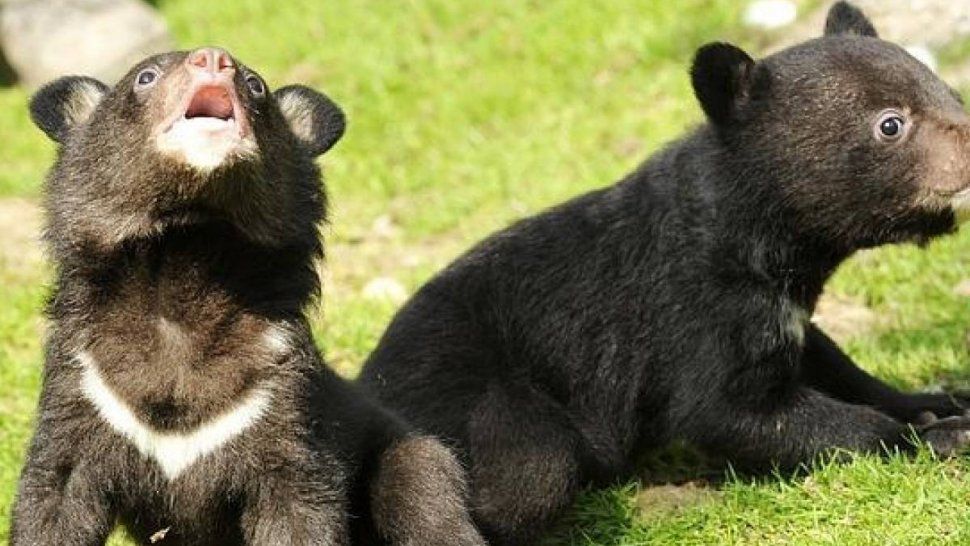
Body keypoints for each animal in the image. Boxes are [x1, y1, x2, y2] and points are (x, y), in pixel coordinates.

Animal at [11, 47, 485, 546]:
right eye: (146, 76)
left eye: (256, 85)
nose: (213, 57)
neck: (186, 262)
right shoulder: (84, 390)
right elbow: (53, 498)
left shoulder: (280, 408)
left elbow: (299, 506)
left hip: (406, 453)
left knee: (424, 494)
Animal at [359, 3, 970, 545]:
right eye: (891, 125)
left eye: (952, 93)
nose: (969, 147)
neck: (764, 243)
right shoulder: (696, 312)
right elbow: (731, 410)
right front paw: (937, 436)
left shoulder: (782, 311)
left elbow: (827, 359)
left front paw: (939, 400)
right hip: (475, 403)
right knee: (527, 476)